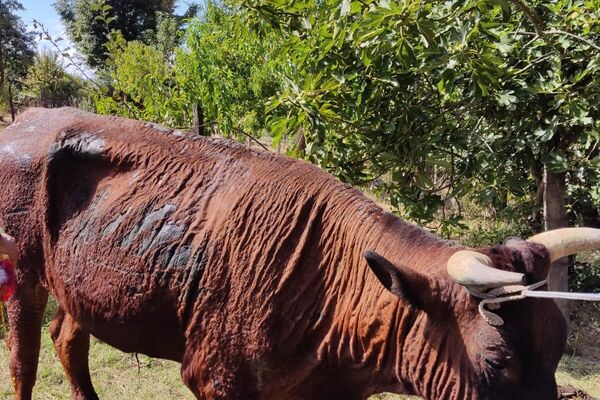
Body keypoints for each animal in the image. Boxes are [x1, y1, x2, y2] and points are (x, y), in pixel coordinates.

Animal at [1, 108, 596, 398]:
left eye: (558, 347)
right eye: (497, 361)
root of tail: (29, 116)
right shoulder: (217, 379)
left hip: (82, 285)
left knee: (67, 341)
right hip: (22, 273)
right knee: (24, 362)